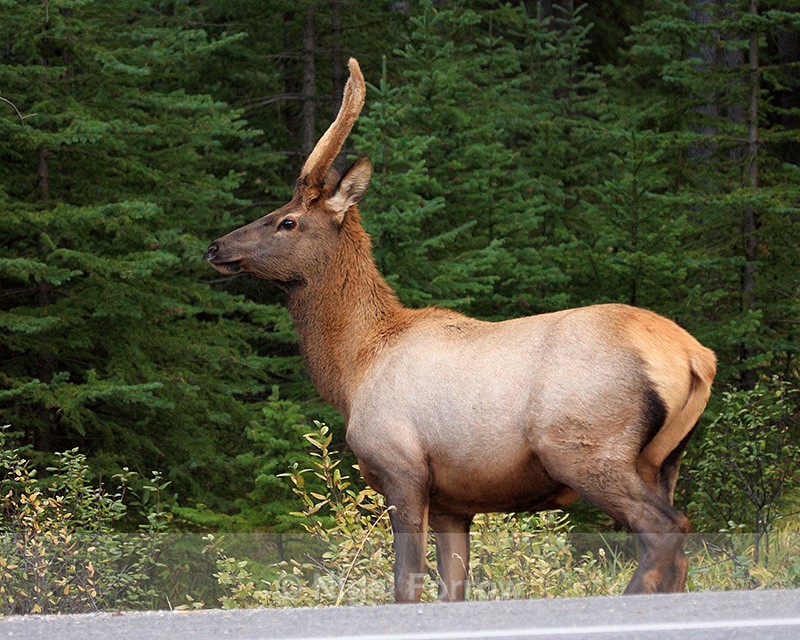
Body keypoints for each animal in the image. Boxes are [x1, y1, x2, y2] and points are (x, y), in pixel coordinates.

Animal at [206, 58, 716, 603]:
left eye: (287, 221)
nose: (216, 247)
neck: (352, 368)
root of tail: (696, 358)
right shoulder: (454, 502)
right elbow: (452, 591)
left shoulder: (402, 469)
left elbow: (405, 586)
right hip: (665, 462)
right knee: (678, 555)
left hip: (587, 449)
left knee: (666, 531)